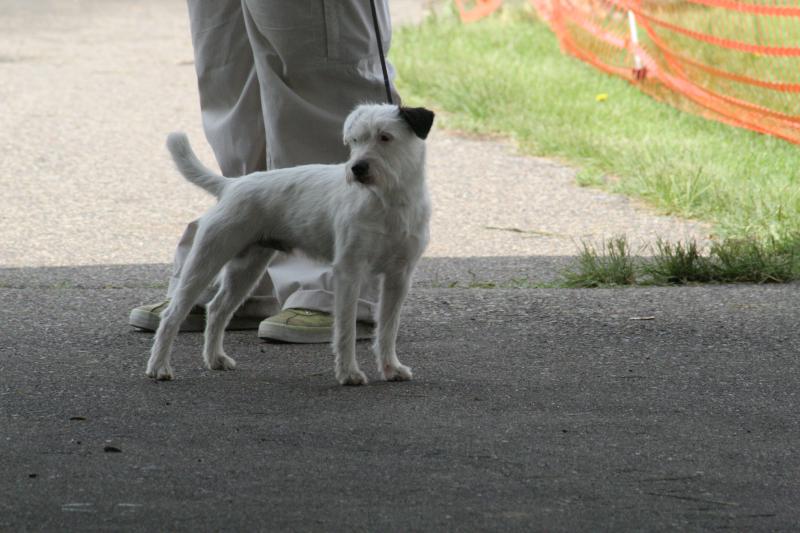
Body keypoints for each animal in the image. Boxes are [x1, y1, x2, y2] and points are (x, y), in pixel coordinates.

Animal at [147, 104, 434, 384]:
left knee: (217, 309)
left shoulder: (399, 277)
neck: (387, 201)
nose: (357, 168)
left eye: (385, 137)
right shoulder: (349, 272)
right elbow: (346, 329)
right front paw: (348, 373)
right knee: (172, 315)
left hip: (246, 270)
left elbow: (387, 328)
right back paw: (159, 366)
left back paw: (215, 358)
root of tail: (232, 185)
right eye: (354, 140)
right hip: (206, 260)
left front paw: (390, 368)